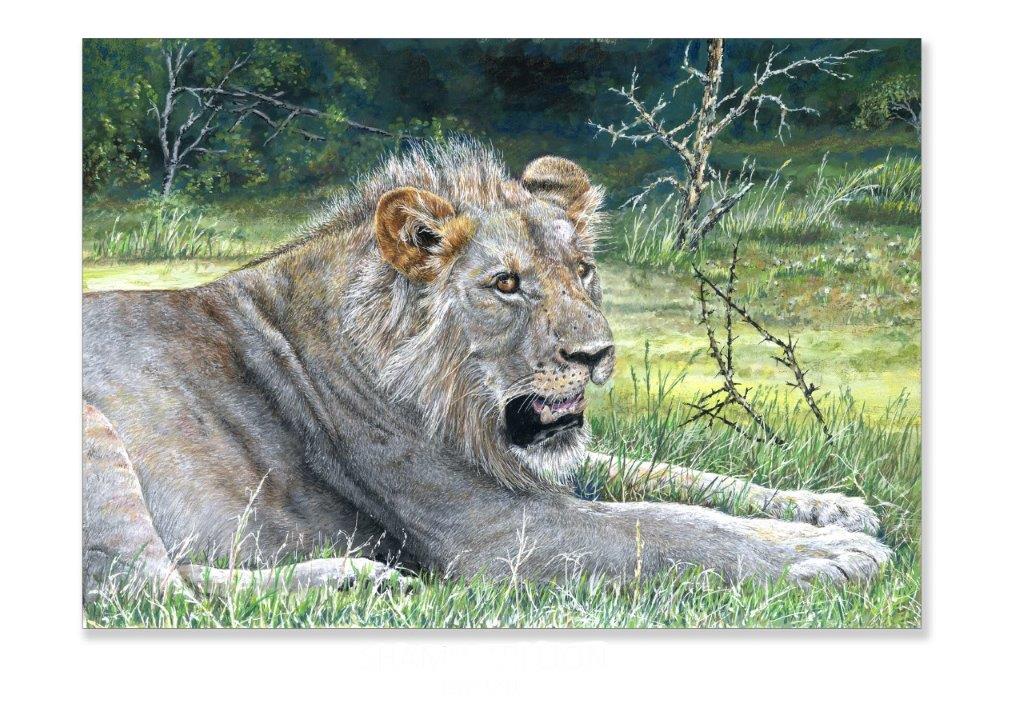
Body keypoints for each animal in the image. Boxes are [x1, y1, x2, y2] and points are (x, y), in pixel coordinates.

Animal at [83, 139, 889, 602]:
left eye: (583, 271)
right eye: (505, 284)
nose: (596, 355)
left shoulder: (537, 466)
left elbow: (678, 479)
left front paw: (834, 510)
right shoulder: (493, 533)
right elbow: (666, 528)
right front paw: (827, 556)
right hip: (93, 434)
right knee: (143, 589)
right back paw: (353, 580)